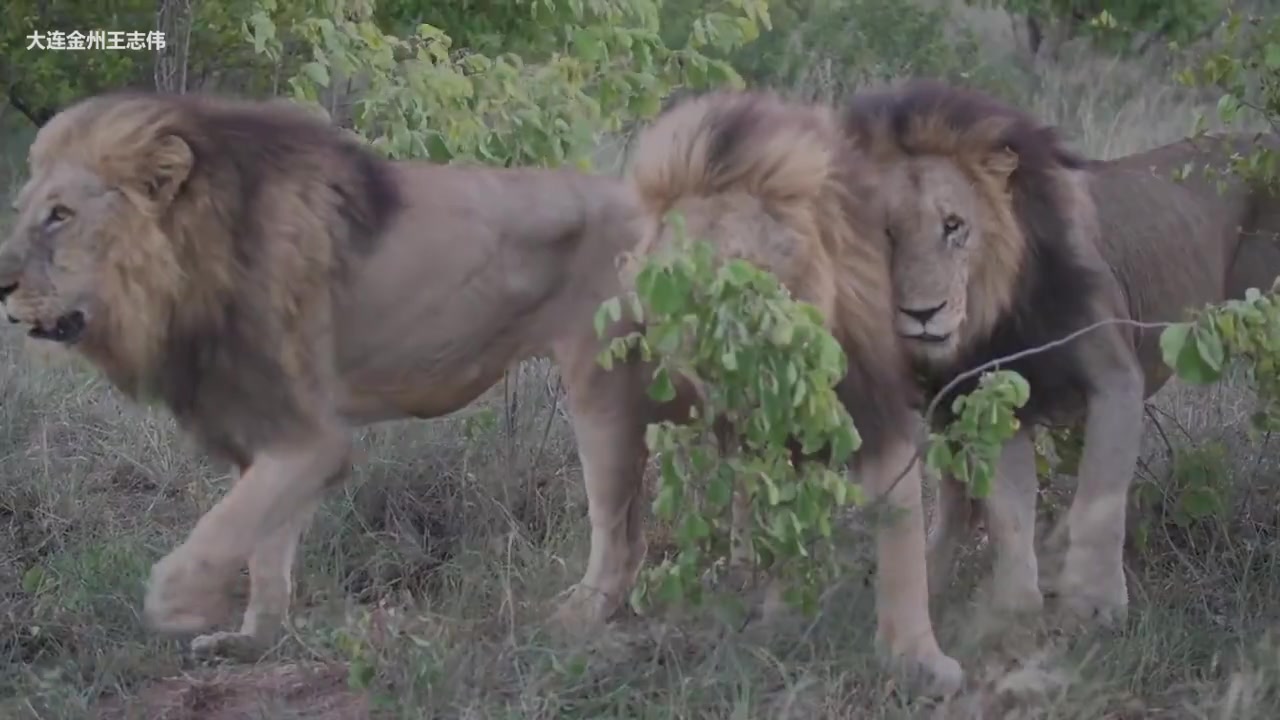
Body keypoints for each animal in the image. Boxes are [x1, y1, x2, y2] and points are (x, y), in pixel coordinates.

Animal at [0, 87, 962, 691]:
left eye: (60, 216)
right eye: (26, 210)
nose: (2, 283)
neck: (183, 266)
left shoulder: (311, 437)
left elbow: (226, 528)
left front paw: (175, 602)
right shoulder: (272, 428)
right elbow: (267, 543)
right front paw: (250, 639)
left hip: (606, 393)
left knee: (625, 537)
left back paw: (578, 622)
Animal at [849, 78, 1280, 625]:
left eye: (953, 225)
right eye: (887, 233)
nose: (923, 313)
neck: (1004, 309)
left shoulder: (1115, 378)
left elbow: (1100, 496)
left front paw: (1095, 604)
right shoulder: (1000, 402)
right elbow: (1011, 513)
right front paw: (1017, 611)